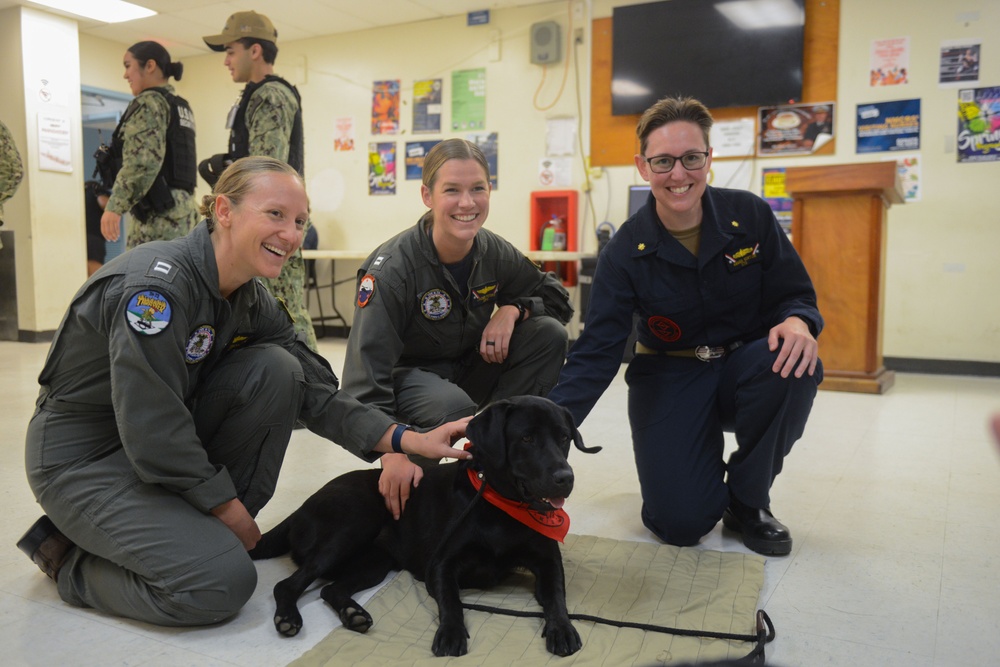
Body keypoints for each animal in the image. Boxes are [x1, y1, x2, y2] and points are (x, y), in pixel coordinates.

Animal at [250, 396, 600, 656]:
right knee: (288, 584)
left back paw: (353, 614)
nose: (565, 478)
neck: (500, 506)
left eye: (564, 438)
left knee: (331, 589)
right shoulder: (441, 565)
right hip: (353, 525)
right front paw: (451, 633)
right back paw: (288, 617)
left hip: (375, 562)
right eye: (526, 438)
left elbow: (556, 596)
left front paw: (562, 628)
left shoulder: (548, 562)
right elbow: (452, 600)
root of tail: (300, 507)